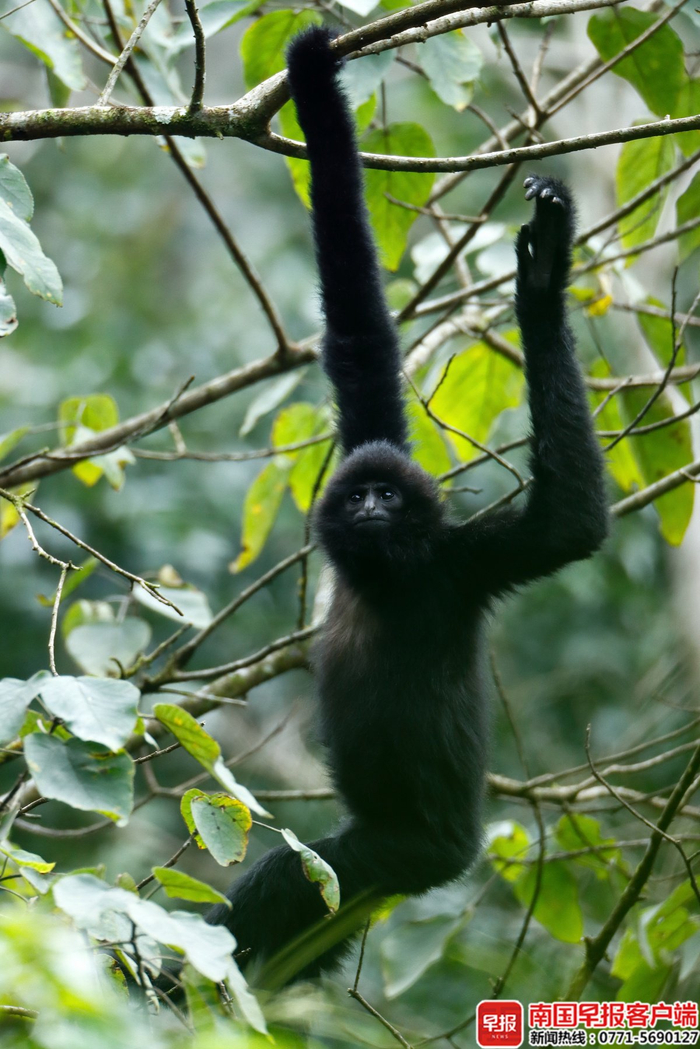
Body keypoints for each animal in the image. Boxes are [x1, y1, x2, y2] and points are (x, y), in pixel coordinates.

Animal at [205, 25, 608, 988]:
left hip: (402, 851)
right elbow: (359, 337)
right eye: (362, 492)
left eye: (391, 493)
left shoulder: (463, 563)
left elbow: (568, 524)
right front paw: (314, 78)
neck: (390, 576)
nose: (374, 506)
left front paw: (544, 282)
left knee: (297, 874)